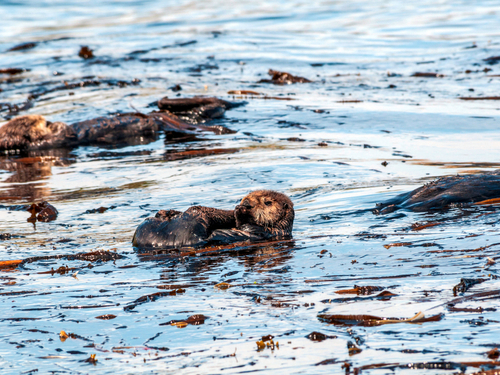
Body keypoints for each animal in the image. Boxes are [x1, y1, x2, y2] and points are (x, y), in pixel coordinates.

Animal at [133, 191, 294, 250]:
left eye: (267, 202)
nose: (246, 202)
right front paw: (238, 208)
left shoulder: (267, 231)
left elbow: (245, 226)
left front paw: (240, 210)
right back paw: (167, 213)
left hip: (193, 222)